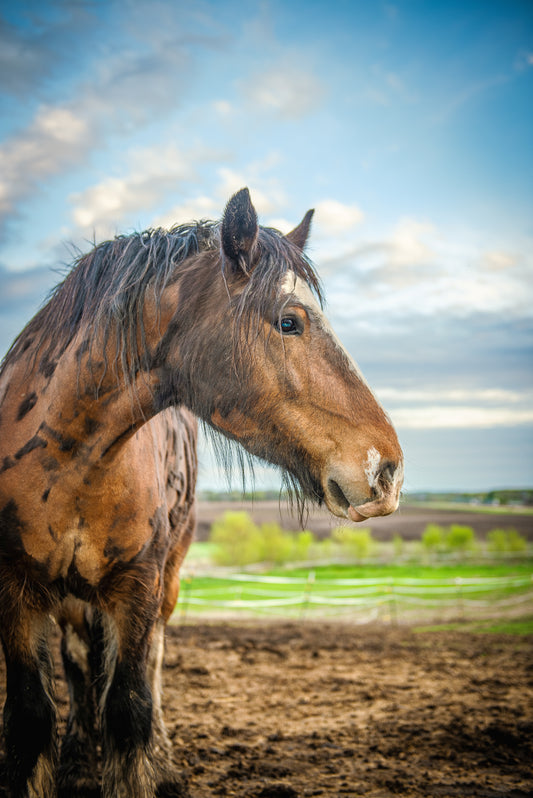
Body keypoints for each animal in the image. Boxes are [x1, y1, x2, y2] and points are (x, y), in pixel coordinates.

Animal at [0, 189, 402, 798]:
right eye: (290, 321)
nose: (388, 469)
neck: (68, 460)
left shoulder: (137, 586)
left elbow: (131, 708)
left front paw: (145, 767)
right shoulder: (16, 592)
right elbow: (32, 717)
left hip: (163, 583)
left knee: (148, 669)